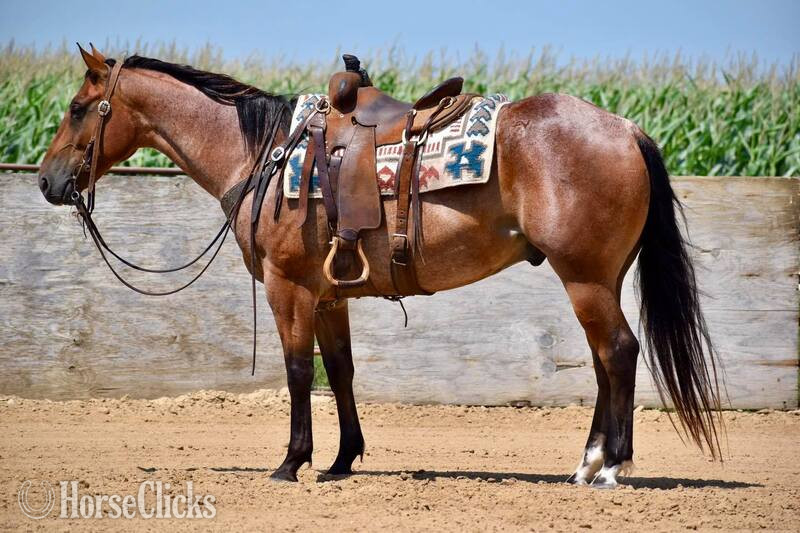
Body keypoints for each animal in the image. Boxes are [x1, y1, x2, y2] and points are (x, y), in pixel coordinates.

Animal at [37, 45, 721, 487]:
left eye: (77, 107)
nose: (47, 181)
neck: (264, 154)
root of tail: (626, 129)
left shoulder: (289, 287)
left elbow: (297, 372)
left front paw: (291, 462)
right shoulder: (328, 294)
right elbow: (340, 372)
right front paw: (342, 461)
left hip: (583, 278)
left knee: (619, 353)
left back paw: (611, 466)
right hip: (600, 278)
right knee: (607, 361)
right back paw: (585, 464)